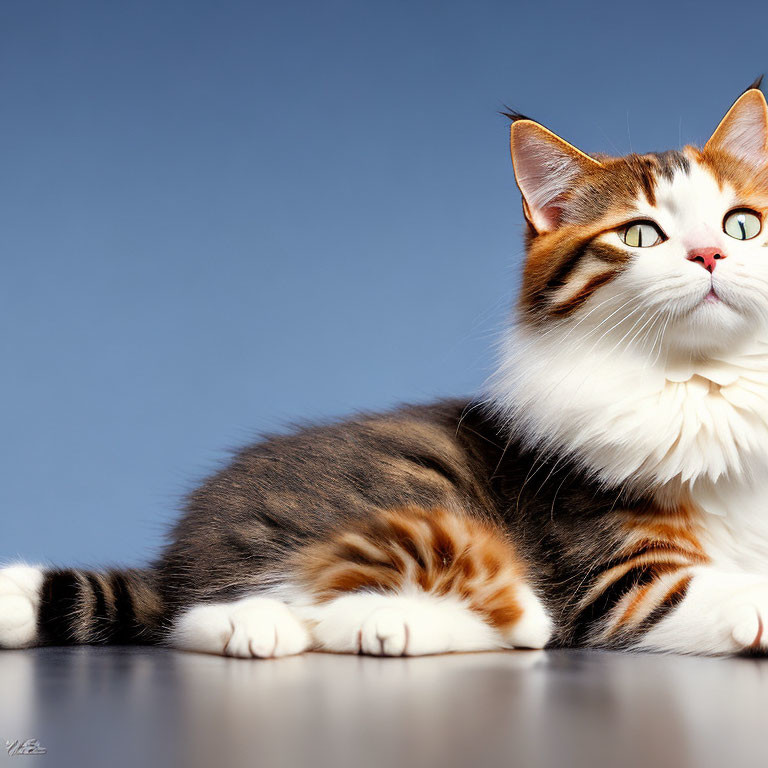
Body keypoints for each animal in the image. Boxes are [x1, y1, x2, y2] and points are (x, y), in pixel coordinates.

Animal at [1, 85, 768, 660]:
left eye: (741, 225)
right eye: (639, 234)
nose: (708, 254)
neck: (705, 386)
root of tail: (182, 554)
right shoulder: (615, 577)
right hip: (416, 493)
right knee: (220, 614)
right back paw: (318, 625)